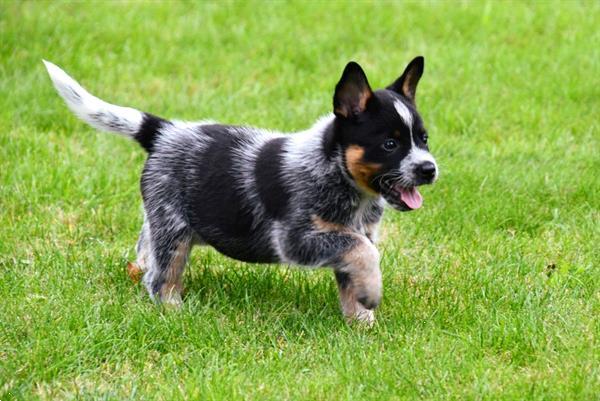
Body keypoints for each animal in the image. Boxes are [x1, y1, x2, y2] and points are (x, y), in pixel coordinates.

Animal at [42, 56, 436, 324]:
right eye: (389, 144)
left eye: (424, 138)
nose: (429, 169)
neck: (338, 173)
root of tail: (164, 130)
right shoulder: (297, 239)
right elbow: (364, 254)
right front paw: (372, 296)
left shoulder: (352, 234)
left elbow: (354, 272)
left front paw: (361, 322)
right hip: (174, 228)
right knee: (161, 277)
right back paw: (175, 310)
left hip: (167, 220)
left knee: (145, 248)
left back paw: (139, 268)